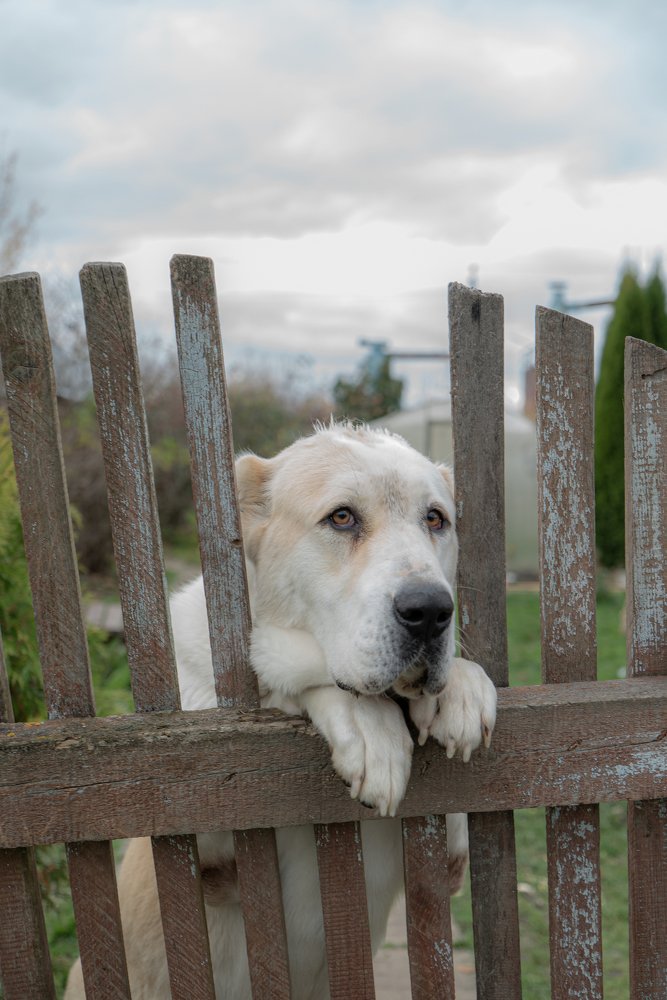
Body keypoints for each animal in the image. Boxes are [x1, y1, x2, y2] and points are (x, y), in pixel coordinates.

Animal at [65, 422, 496, 999]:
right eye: (342, 517)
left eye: (435, 519)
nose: (430, 610)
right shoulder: (198, 844)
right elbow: (284, 675)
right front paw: (370, 727)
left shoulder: (446, 863)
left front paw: (460, 690)